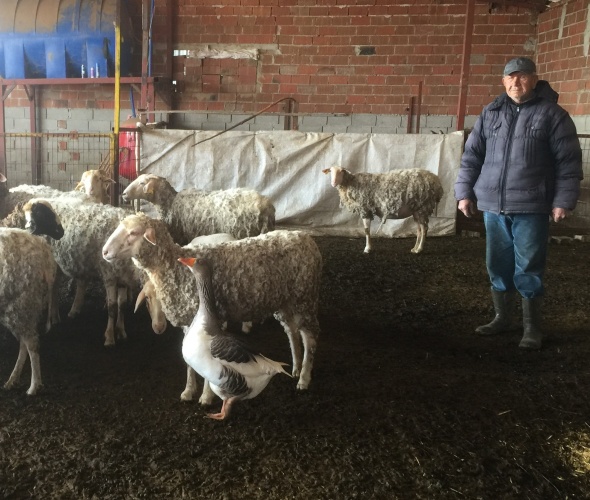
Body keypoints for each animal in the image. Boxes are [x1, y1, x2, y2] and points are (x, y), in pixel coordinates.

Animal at [0, 228, 58, 395]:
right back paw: (13, 380)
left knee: (31, 343)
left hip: (21, 303)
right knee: (24, 343)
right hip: (24, 309)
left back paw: (34, 386)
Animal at [102, 213, 322, 405]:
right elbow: (189, 360)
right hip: (285, 300)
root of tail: (305, 238)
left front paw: (206, 397)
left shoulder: (211, 318)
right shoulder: (189, 321)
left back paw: (304, 377)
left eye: (133, 232)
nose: (104, 252)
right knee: (292, 332)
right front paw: (188, 391)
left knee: (309, 337)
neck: (175, 268)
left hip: (305, 297)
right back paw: (295, 367)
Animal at [121, 173, 276, 244]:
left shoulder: (181, 236)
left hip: (243, 230)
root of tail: (266, 205)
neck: (170, 203)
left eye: (142, 183)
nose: (123, 194)